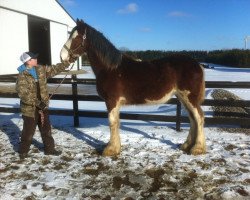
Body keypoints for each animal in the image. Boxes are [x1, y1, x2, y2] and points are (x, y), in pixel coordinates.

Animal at [61, 19, 207, 156]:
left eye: (76, 37)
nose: (62, 56)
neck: (110, 69)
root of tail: (197, 64)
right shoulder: (115, 103)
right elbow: (116, 122)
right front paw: (116, 147)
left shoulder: (111, 101)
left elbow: (112, 122)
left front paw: (110, 150)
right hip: (183, 97)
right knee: (192, 119)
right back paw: (187, 145)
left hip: (189, 97)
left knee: (198, 117)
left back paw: (197, 148)